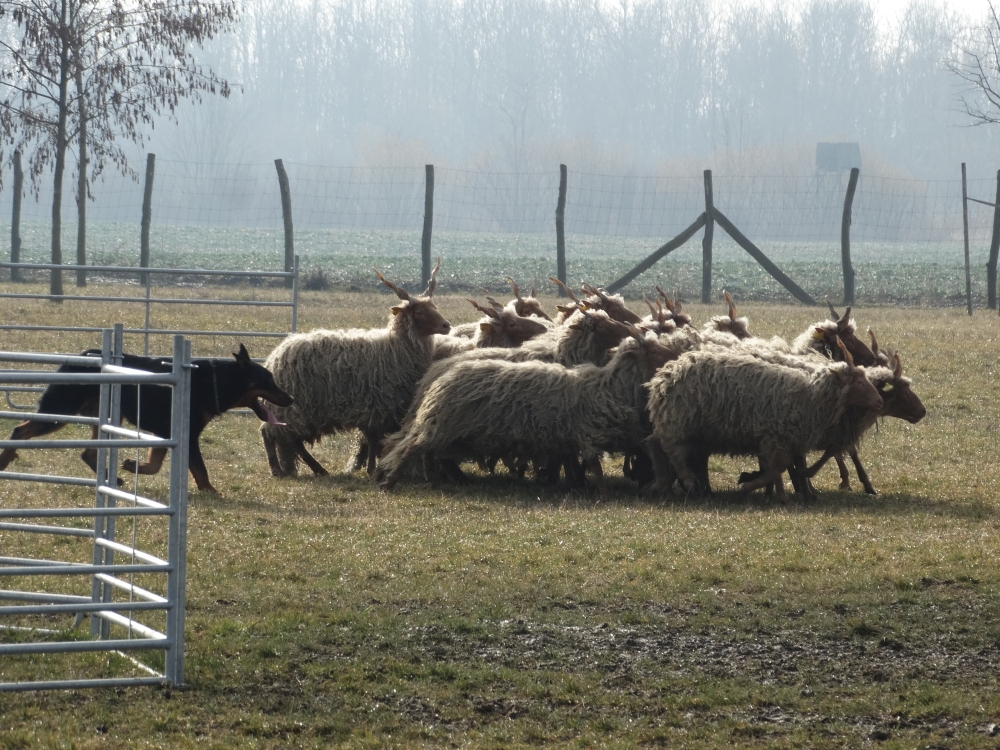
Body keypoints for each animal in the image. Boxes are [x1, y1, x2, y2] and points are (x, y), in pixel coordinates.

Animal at [0, 346, 294, 496]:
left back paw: (111, 478)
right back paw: (6, 460)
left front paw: (132, 465)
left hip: (107, 415)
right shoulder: (186, 434)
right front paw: (210, 491)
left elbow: (155, 464)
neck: (217, 381)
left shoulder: (167, 432)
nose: (291, 398)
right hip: (61, 411)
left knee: (88, 453)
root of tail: (76, 358)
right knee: (19, 431)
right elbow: (200, 469)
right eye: (267, 380)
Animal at [258, 262, 450, 478]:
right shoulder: (376, 405)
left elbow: (372, 438)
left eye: (434, 307)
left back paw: (318, 469)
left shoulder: (375, 408)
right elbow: (373, 438)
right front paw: (372, 469)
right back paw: (277, 469)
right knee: (270, 434)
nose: (446, 325)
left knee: (293, 442)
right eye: (419, 312)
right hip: (291, 408)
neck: (394, 347)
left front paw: (372, 467)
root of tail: (274, 357)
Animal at [376, 328, 680, 494]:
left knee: (426, 452)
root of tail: (442, 377)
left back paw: (431, 479)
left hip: (448, 430)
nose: (676, 358)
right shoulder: (585, 434)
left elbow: (578, 465)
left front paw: (574, 484)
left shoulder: (569, 437)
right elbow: (594, 466)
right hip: (443, 425)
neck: (609, 385)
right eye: (654, 351)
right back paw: (390, 481)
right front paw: (601, 493)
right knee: (413, 448)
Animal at [644, 344, 880, 502]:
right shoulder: (774, 437)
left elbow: (780, 468)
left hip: (686, 426)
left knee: (655, 445)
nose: (879, 400)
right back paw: (687, 481)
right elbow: (778, 468)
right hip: (678, 421)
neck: (810, 395)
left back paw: (662, 484)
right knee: (673, 450)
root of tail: (665, 374)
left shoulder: (784, 440)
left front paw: (768, 489)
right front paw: (759, 489)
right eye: (859, 382)